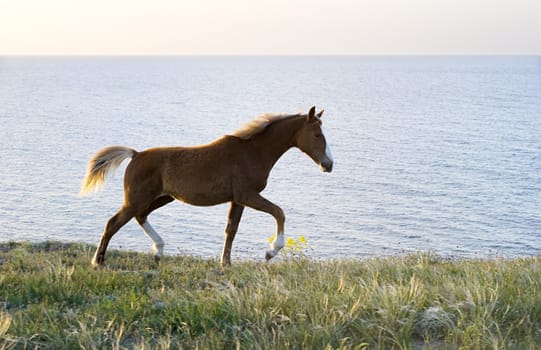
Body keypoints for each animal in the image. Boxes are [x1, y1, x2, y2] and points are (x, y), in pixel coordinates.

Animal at [80, 105, 334, 266]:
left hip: (162, 197)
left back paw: (159, 250)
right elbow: (279, 212)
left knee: (140, 216)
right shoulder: (247, 194)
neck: (252, 153)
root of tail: (136, 154)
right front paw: (271, 251)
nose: (329, 164)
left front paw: (226, 263)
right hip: (138, 199)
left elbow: (231, 230)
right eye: (317, 134)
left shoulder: (237, 199)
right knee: (114, 222)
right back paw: (98, 261)